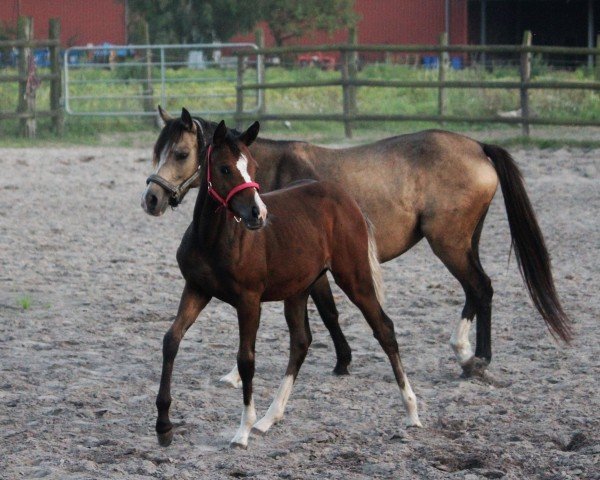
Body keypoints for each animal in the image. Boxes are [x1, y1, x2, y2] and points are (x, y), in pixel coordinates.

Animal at [142, 109, 572, 386]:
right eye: (156, 152)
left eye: (181, 154)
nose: (151, 199)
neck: (273, 171)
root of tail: (479, 146)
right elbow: (327, 314)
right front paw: (341, 359)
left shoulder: (307, 270)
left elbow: (328, 313)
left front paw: (340, 361)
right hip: (465, 241)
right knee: (475, 290)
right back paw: (468, 354)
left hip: (449, 243)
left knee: (480, 287)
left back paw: (477, 358)